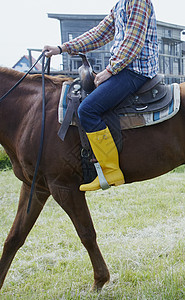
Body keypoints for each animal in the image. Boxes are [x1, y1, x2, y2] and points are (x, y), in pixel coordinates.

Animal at [0, 66, 185, 290]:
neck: (29, 113)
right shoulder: (35, 187)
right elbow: (14, 237)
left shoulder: (63, 187)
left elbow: (86, 233)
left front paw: (100, 279)